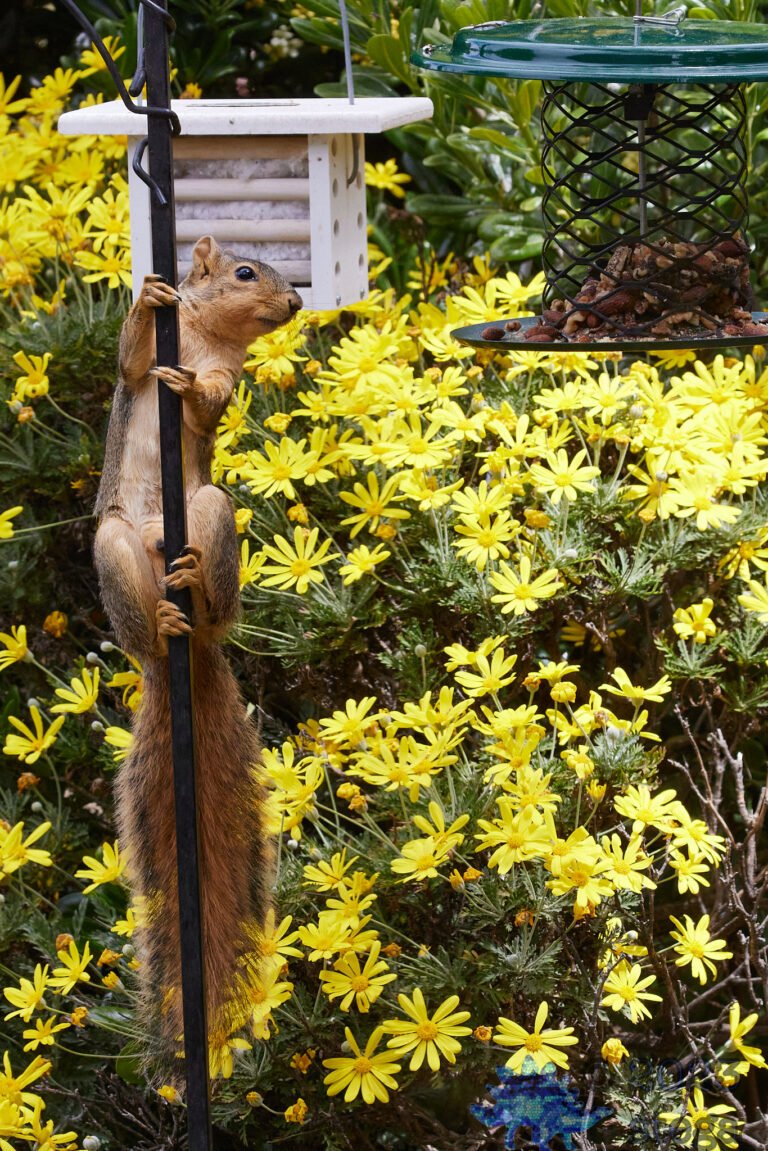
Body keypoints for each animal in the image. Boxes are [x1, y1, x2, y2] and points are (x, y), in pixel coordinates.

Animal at [94, 234, 302, 1060]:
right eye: (245, 272)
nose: (295, 301)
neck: (209, 336)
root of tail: (182, 653)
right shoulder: (139, 368)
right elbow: (129, 364)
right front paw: (148, 296)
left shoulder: (229, 374)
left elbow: (212, 398)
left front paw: (193, 387)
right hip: (117, 547)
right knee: (146, 624)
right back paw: (162, 621)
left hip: (210, 508)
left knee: (213, 583)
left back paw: (196, 591)